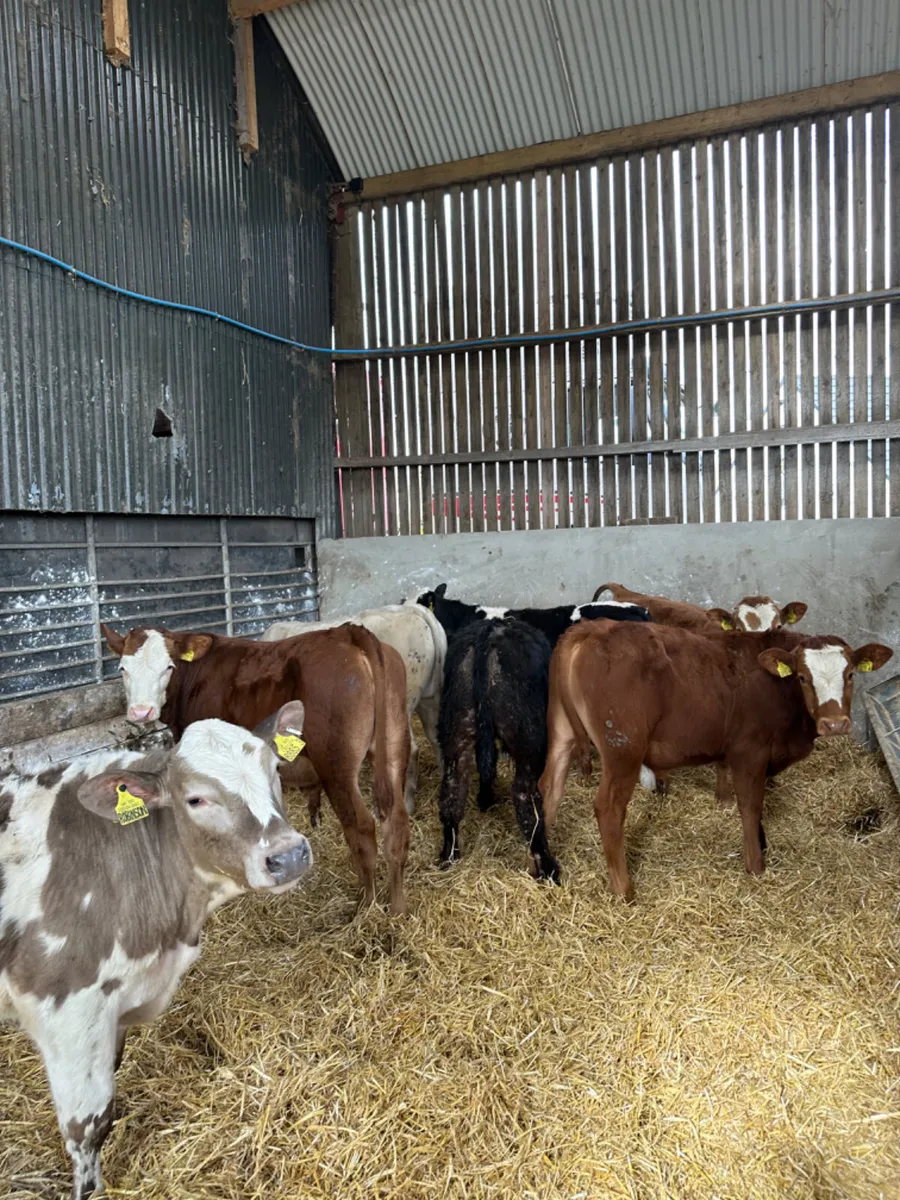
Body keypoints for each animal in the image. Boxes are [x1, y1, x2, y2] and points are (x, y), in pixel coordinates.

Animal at [101, 622, 411, 915]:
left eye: (168, 666)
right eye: (123, 668)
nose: (141, 711)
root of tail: (348, 632)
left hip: (336, 765)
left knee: (361, 827)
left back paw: (366, 906)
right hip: (394, 745)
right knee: (396, 822)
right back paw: (396, 908)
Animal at [438, 619, 559, 881]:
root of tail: (490, 632)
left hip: (457, 727)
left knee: (453, 789)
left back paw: (449, 857)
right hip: (527, 741)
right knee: (525, 799)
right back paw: (548, 868)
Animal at [538, 619, 892, 902]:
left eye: (850, 674)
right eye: (803, 677)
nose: (835, 724)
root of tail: (593, 627)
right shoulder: (750, 751)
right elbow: (750, 806)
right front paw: (756, 866)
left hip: (562, 733)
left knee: (549, 789)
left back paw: (541, 863)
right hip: (623, 749)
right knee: (608, 808)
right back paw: (624, 891)